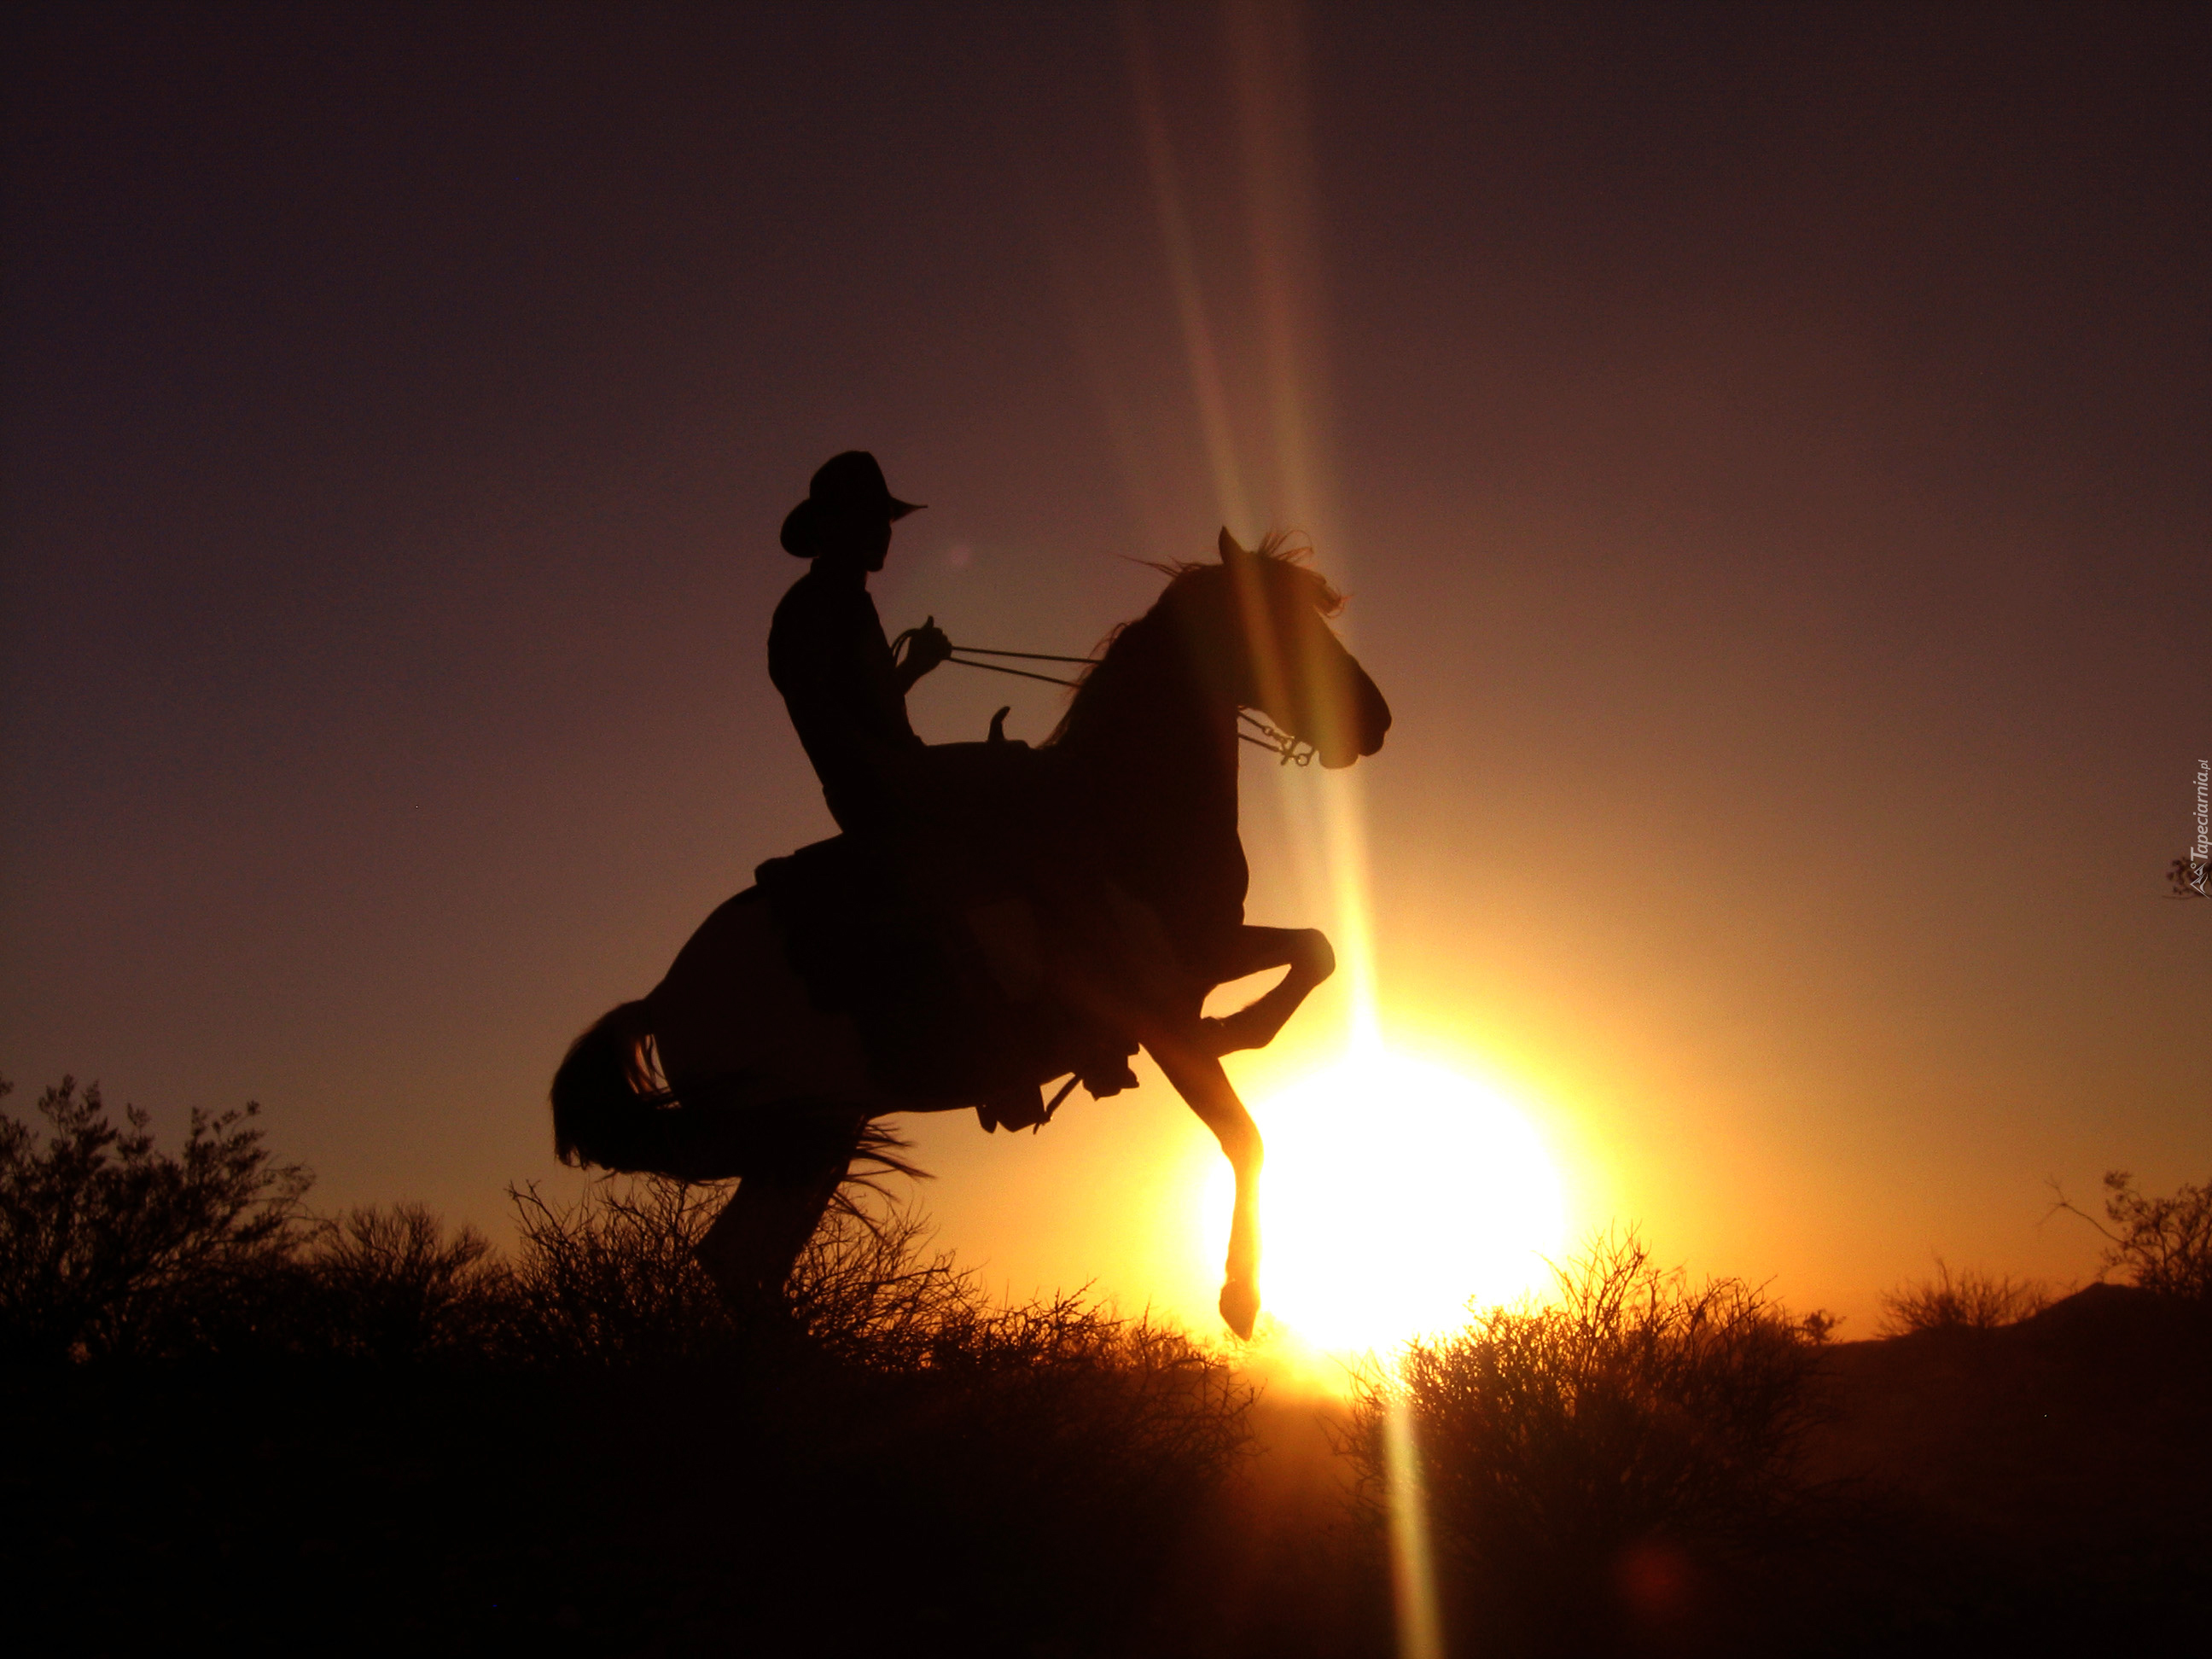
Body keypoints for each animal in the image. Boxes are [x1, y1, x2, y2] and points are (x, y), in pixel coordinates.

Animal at [546, 533, 1388, 1336]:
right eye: (1274, 617)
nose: (1373, 719)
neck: (1120, 812)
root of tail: (664, 996)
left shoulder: (1205, 958)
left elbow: (1314, 949)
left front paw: (1242, 1027)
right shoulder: (1156, 1009)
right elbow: (1245, 1137)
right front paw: (1240, 1299)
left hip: (818, 1135)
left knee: (743, 1264)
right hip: (802, 1137)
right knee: (741, 1261)